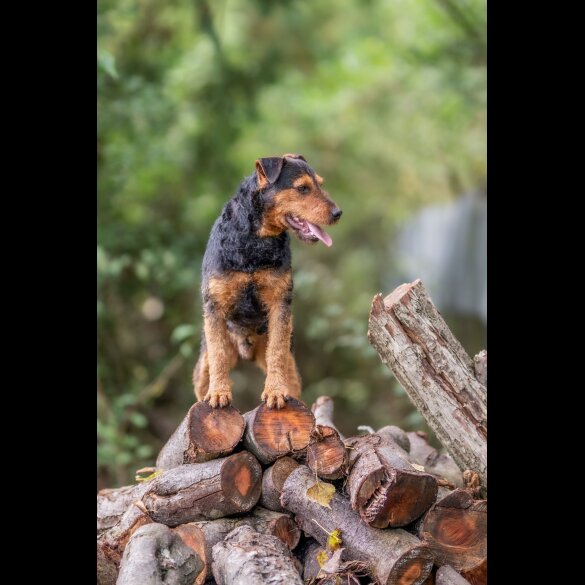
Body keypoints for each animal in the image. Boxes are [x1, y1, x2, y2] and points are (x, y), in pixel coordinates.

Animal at [193, 155, 338, 410]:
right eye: (303, 188)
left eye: (319, 184)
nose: (338, 213)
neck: (255, 243)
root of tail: (246, 350)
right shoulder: (215, 305)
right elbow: (218, 355)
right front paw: (219, 394)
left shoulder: (280, 302)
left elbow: (277, 352)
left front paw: (275, 392)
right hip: (203, 365)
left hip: (290, 365)